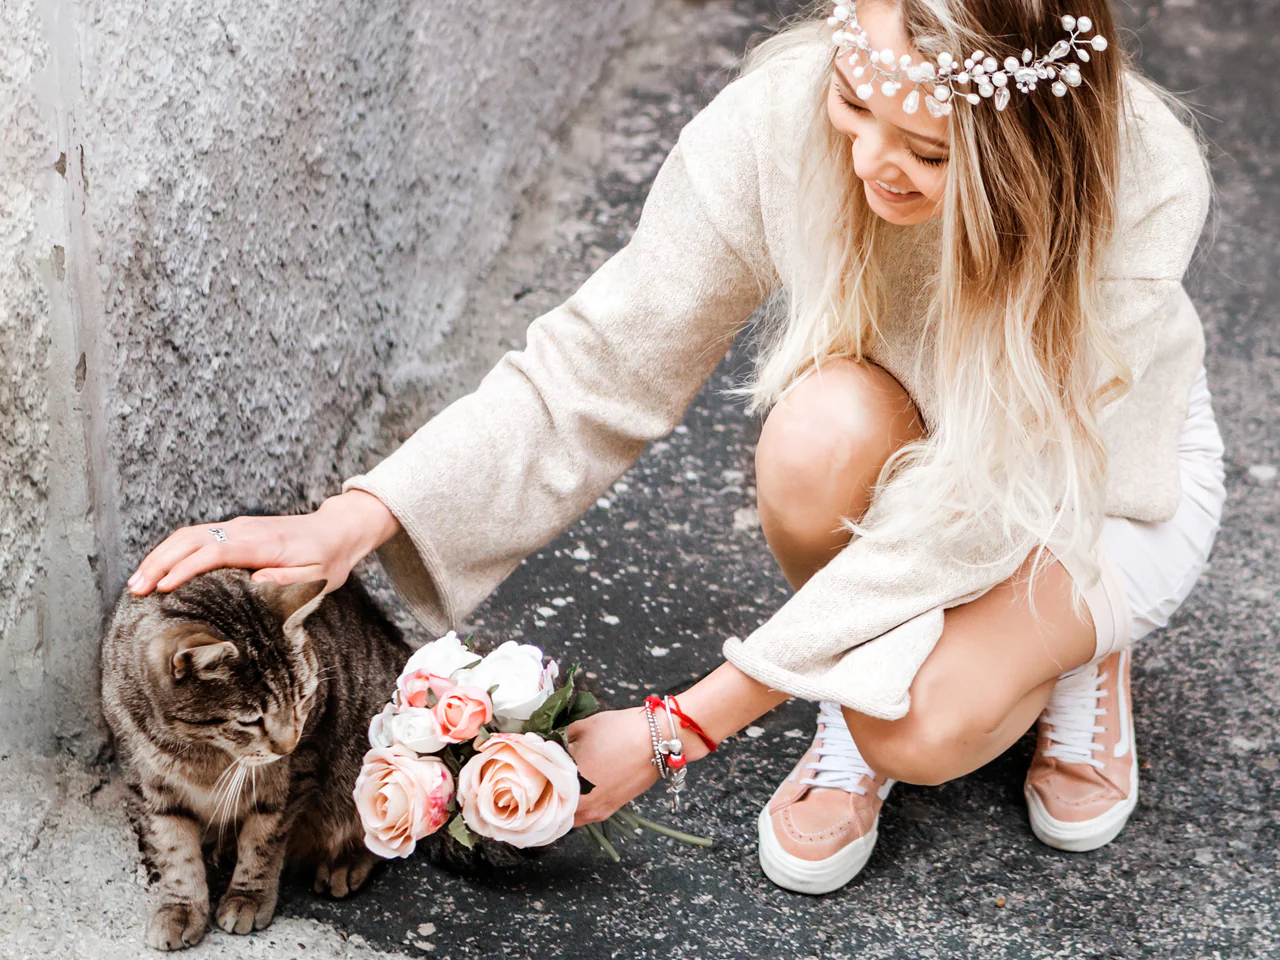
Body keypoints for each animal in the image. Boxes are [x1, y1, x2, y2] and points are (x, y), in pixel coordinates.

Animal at [99, 570, 409, 957]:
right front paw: (181, 907)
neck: (200, 751)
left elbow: (264, 842)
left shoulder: (294, 774)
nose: (288, 743)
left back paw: (345, 862)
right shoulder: (147, 782)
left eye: (304, 698)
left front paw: (249, 897)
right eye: (250, 720)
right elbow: (174, 852)